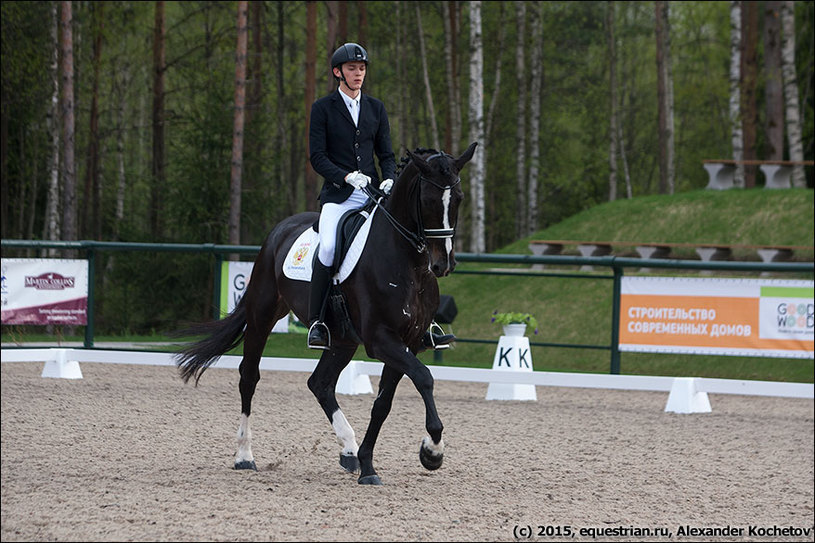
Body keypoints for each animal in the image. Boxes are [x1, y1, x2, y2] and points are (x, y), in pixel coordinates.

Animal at [174, 142, 478, 486]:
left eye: (459, 198)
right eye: (427, 200)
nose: (443, 264)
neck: (407, 263)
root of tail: (279, 231)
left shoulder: (409, 340)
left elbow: (384, 403)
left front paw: (370, 464)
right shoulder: (381, 339)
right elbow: (424, 378)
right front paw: (432, 451)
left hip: (342, 340)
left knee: (319, 383)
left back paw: (349, 451)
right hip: (262, 316)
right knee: (249, 377)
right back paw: (244, 456)